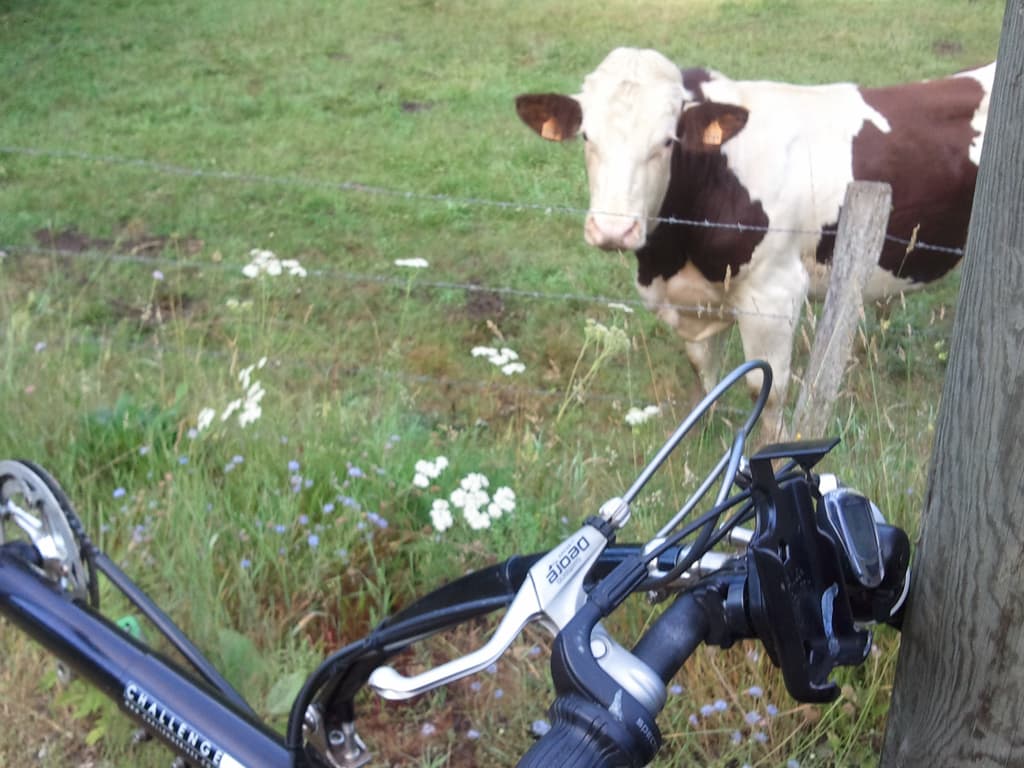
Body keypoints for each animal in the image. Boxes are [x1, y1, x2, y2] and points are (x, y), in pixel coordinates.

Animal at [516, 47, 994, 438]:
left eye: (668, 140)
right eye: (586, 137)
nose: (613, 231)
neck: (671, 256)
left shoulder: (775, 294)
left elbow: (768, 388)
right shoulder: (695, 298)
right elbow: (703, 372)